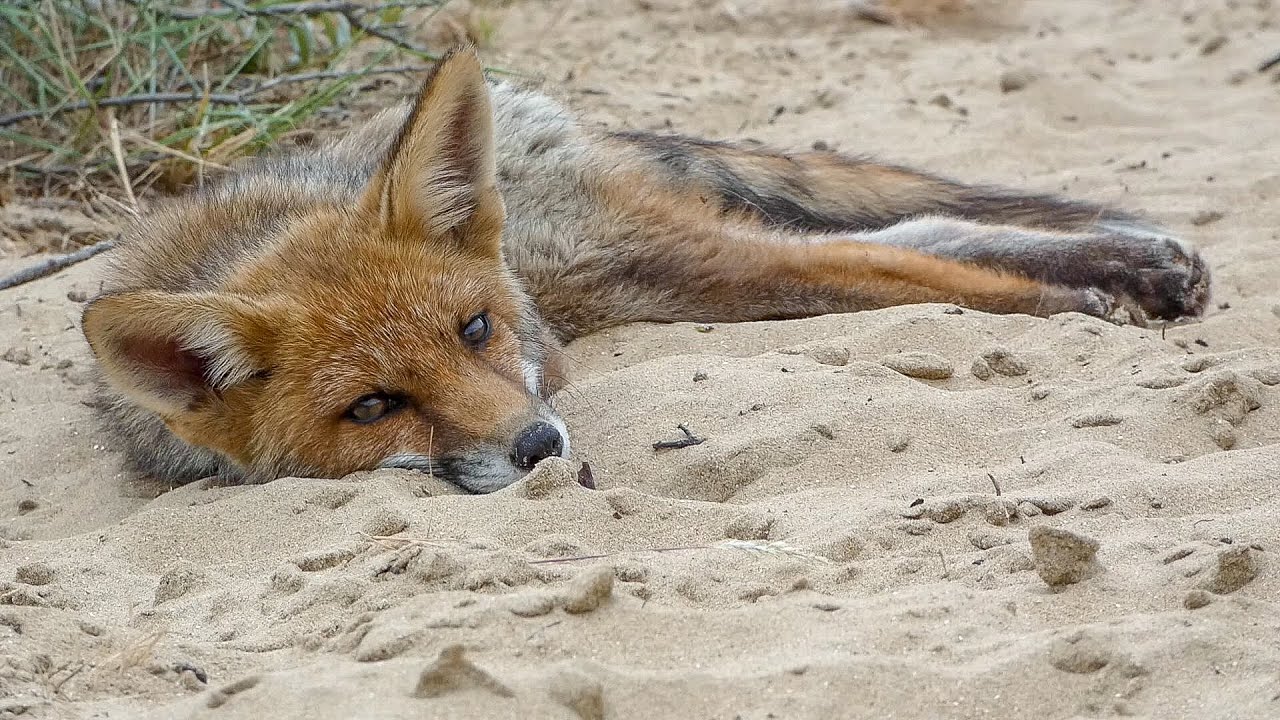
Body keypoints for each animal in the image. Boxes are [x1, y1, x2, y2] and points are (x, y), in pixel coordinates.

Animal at [82, 46, 1210, 493]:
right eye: (371, 407)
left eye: (473, 332)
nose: (539, 445)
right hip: (639, 277)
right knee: (909, 241)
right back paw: (1129, 263)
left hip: (650, 259)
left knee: (893, 254)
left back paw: (1106, 281)